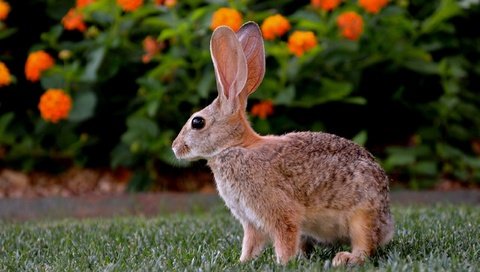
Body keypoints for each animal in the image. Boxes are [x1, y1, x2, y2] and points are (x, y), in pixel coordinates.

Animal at [172, 22, 394, 266]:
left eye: (197, 122)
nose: (175, 147)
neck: (235, 147)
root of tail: (387, 224)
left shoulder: (278, 211)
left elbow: (283, 236)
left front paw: (283, 263)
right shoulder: (251, 221)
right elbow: (250, 243)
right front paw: (243, 262)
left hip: (362, 215)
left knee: (365, 244)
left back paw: (345, 258)